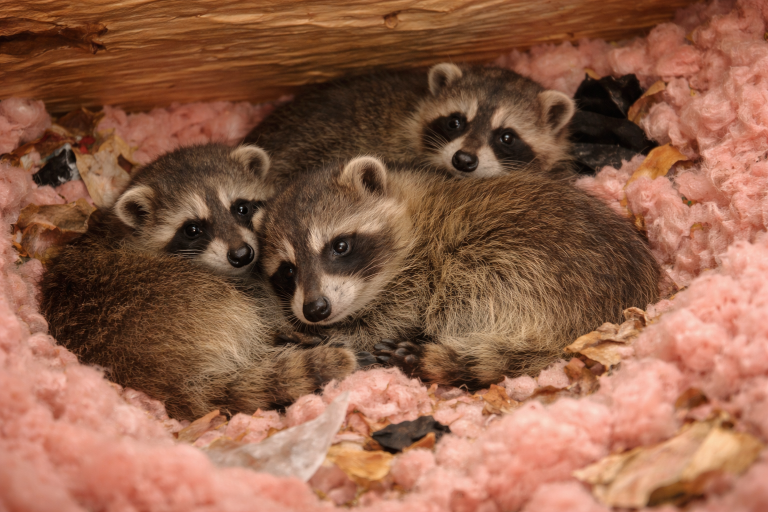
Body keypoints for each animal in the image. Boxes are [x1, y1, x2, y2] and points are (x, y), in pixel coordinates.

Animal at [40, 144, 358, 419]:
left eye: (241, 208)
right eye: (192, 229)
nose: (242, 255)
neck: (126, 231)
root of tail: (166, 377)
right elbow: (265, 305)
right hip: (195, 297)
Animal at [259, 156, 660, 388]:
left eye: (339, 246)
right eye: (288, 270)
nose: (315, 310)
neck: (407, 207)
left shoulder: (420, 270)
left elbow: (388, 320)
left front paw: (326, 335)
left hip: (523, 267)